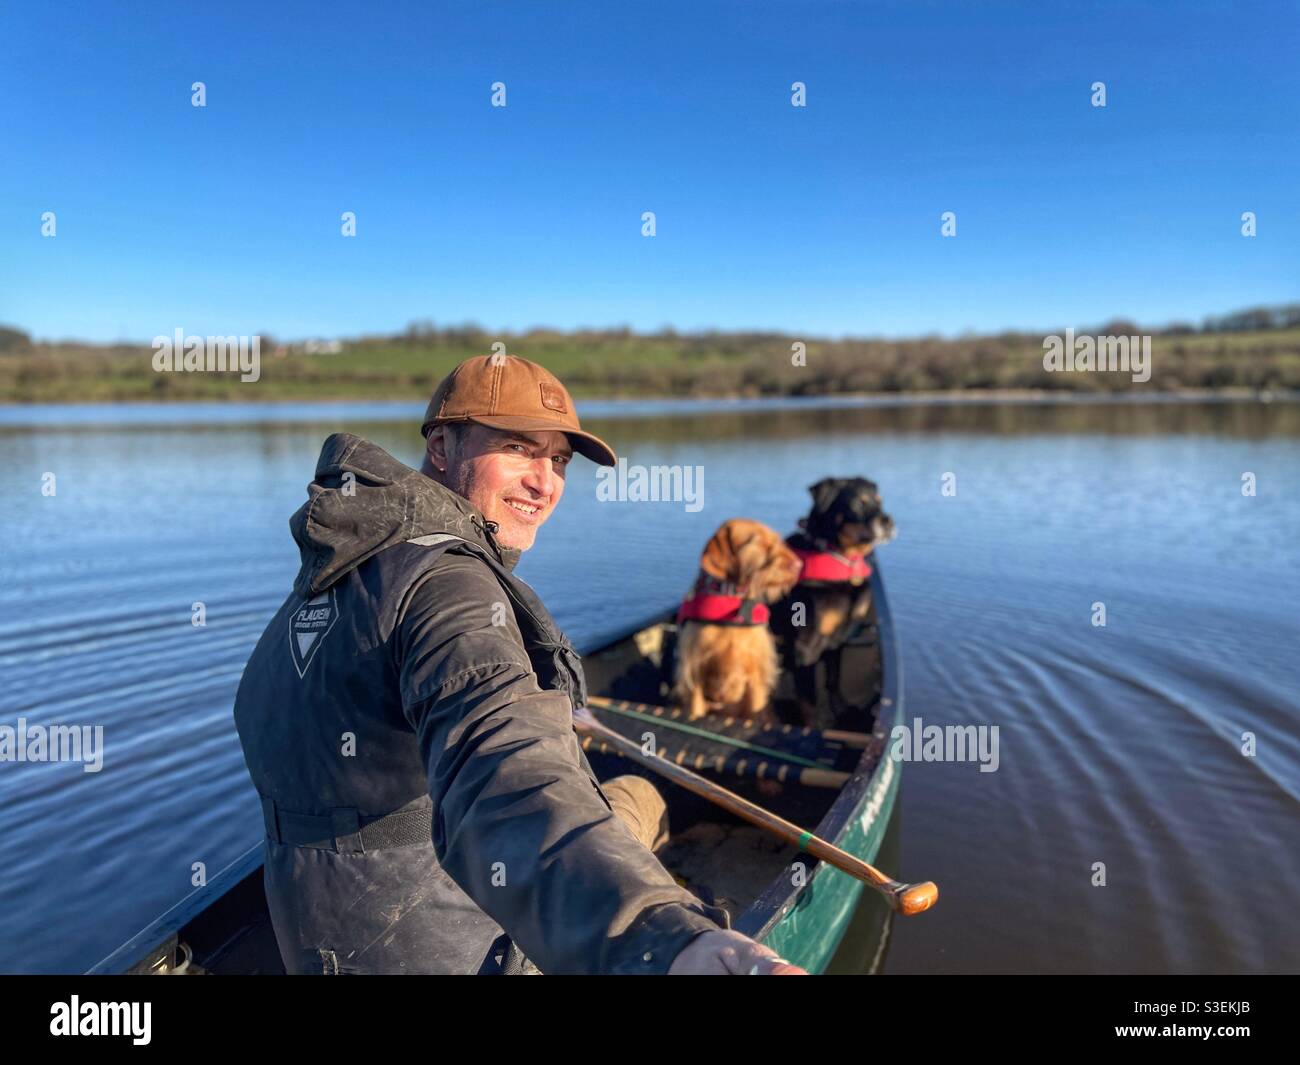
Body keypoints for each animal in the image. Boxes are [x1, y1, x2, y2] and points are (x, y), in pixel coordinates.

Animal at [670, 517, 800, 723]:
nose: (798, 564)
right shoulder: (695, 672)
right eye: (758, 542)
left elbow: (756, 708)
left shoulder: (756, 676)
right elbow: (696, 708)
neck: (731, 601)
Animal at [769, 478, 894, 728]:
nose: (888, 522)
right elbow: (808, 699)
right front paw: (811, 727)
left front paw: (840, 708)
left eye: (879, 501)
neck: (842, 560)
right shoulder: (806, 647)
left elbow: (833, 679)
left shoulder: (837, 638)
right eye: (857, 503)